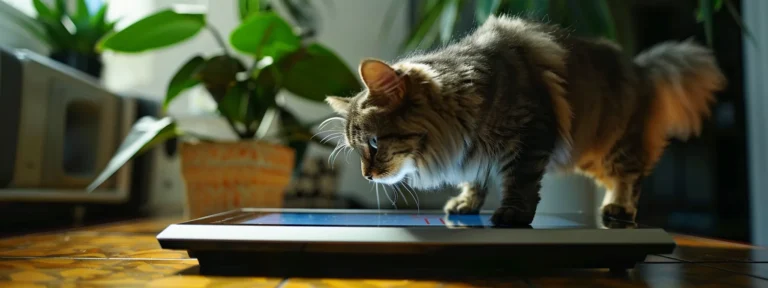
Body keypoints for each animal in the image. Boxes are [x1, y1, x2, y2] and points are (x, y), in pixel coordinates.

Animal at [322, 14, 728, 226]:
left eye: (374, 144)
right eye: (359, 150)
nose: (367, 176)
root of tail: (641, 66)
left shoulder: (531, 134)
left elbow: (520, 181)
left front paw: (512, 215)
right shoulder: (474, 151)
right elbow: (475, 179)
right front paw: (466, 204)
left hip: (612, 147)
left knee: (631, 177)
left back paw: (618, 209)